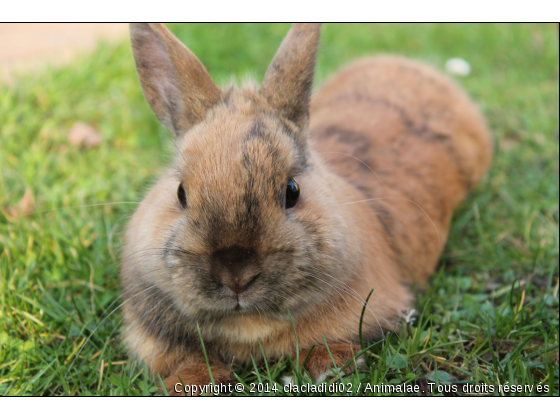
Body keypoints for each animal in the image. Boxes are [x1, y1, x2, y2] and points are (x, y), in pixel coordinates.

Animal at [121, 23, 490, 396]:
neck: (247, 325)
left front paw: (327, 366)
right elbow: (186, 360)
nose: (236, 275)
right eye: (181, 193)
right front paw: (191, 382)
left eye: (292, 191)